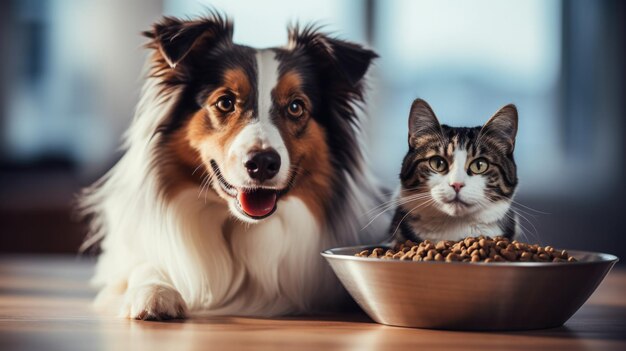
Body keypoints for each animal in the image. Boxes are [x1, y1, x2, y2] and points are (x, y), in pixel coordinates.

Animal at [80, 13, 388, 320]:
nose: (262, 163)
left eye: (296, 107)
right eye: (225, 102)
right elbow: (142, 264)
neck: (238, 229)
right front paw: (154, 291)